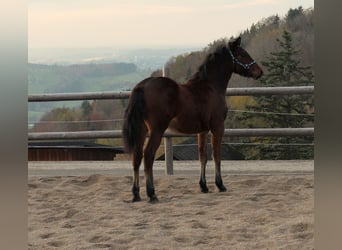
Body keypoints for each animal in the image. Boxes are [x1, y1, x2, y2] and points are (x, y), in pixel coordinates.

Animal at [122, 36, 262, 202]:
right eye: (242, 54)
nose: (259, 72)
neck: (210, 87)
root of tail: (142, 86)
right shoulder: (217, 127)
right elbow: (216, 155)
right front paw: (220, 185)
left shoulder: (202, 130)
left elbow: (203, 156)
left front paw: (204, 186)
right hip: (157, 130)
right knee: (148, 155)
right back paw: (152, 193)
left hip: (142, 130)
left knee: (136, 157)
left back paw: (136, 194)